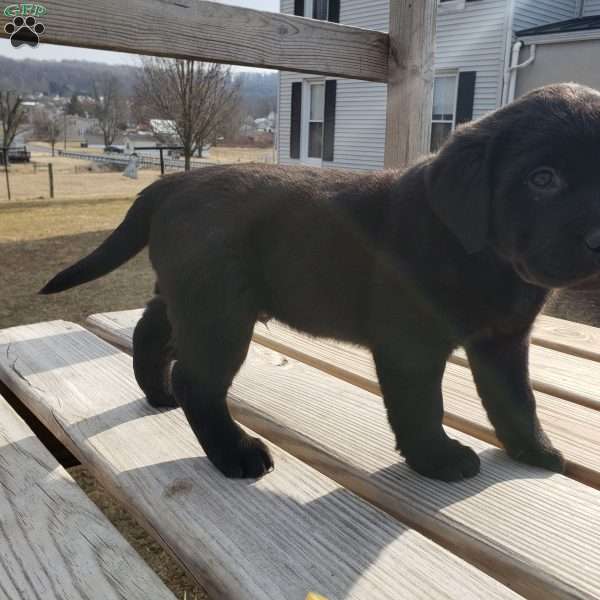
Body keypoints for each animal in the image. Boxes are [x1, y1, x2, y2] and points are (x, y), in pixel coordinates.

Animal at [42, 82, 600, 482]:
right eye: (542, 179)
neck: (485, 258)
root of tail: (173, 181)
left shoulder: (504, 342)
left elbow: (518, 402)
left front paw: (534, 449)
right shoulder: (411, 345)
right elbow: (423, 407)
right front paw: (437, 460)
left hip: (190, 293)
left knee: (151, 331)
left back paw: (156, 393)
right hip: (220, 311)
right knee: (197, 380)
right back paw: (236, 454)